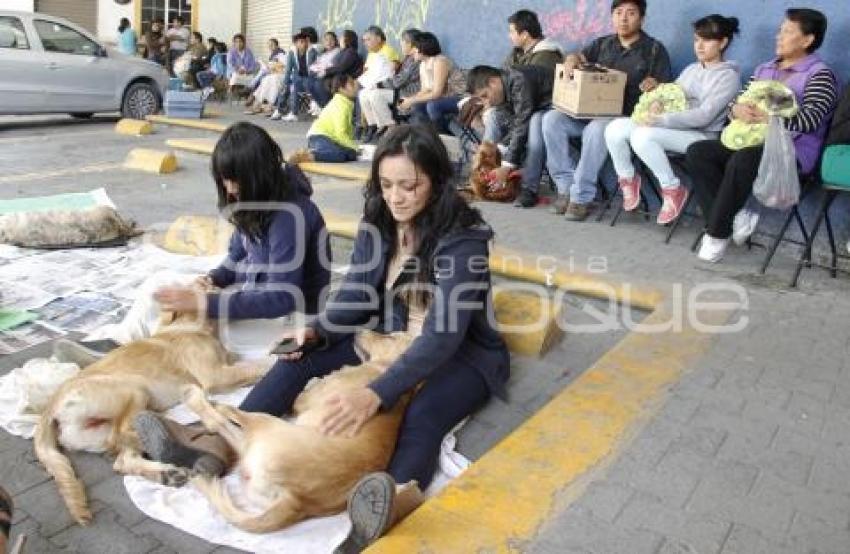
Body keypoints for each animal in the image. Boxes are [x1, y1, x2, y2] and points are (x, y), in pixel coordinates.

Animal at [34, 312, 268, 524]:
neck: (188, 325)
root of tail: (50, 407)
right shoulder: (216, 376)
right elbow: (259, 364)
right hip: (134, 389)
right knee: (119, 437)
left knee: (122, 459)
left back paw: (165, 471)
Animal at [162, 330, 414, 532]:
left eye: (392, 336)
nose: (358, 330)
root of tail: (297, 500)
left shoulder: (302, 402)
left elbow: (303, 395)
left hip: (266, 424)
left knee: (222, 417)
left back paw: (199, 399)